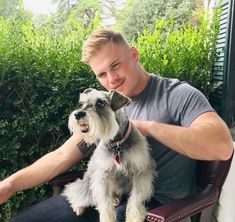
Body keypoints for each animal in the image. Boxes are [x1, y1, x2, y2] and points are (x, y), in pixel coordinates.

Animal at [62, 88, 156, 222]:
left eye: (100, 103)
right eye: (82, 104)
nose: (78, 114)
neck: (117, 143)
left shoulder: (140, 171)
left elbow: (135, 198)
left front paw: (134, 217)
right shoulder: (103, 176)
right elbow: (105, 203)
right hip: (89, 180)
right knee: (76, 191)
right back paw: (79, 206)